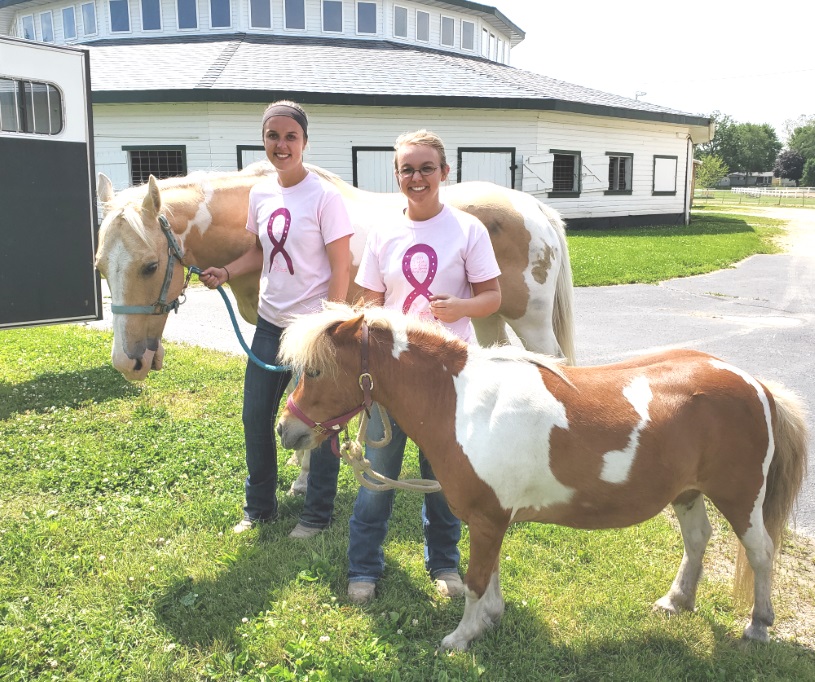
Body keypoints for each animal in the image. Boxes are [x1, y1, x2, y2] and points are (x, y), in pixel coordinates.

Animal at [94, 161, 572, 380]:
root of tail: (537, 210)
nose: (127, 363)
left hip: (531, 322)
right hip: (488, 314)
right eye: (100, 269)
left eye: (150, 266)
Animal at [278, 302, 808, 648]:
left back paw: (759, 625)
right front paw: (488, 621)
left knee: (761, 553)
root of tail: (756, 385)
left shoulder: (488, 518)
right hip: (688, 492)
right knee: (697, 540)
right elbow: (488, 575)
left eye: (317, 372)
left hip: (740, 497)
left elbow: (475, 578)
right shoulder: (487, 517)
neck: (463, 404)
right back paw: (676, 602)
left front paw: (460, 637)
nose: (287, 431)